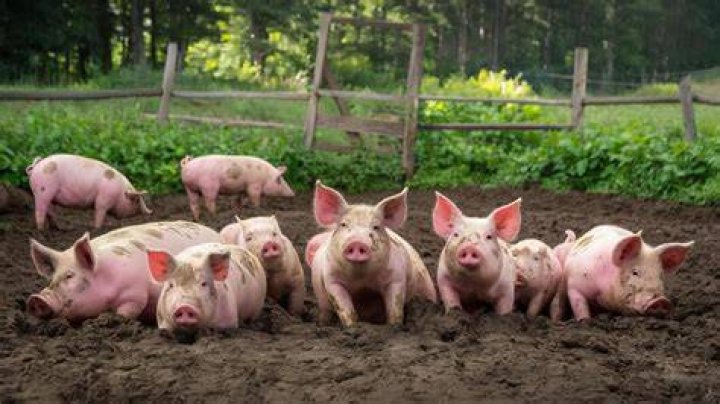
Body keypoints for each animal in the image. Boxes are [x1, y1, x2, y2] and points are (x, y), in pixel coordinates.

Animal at [26, 221, 222, 324]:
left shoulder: (134, 294)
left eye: (70, 275)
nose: (36, 299)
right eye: (52, 279)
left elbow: (126, 312)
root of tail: (215, 232)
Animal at [308, 180, 437, 327]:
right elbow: (345, 309)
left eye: (376, 227)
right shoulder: (332, 281)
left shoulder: (396, 279)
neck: (362, 281)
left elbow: (395, 308)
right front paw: (352, 327)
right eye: (344, 224)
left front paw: (394, 326)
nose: (357, 241)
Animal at [563, 225, 693, 320]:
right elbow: (580, 306)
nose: (659, 301)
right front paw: (584, 321)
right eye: (635, 272)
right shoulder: (574, 285)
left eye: (660, 276)